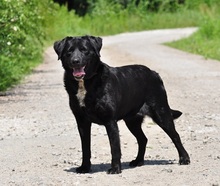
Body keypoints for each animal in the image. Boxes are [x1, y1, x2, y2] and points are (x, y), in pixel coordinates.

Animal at [54, 35, 190, 174]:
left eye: (84, 50)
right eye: (69, 51)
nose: (75, 61)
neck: (85, 84)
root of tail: (154, 73)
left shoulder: (110, 121)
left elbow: (114, 148)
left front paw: (115, 169)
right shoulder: (82, 121)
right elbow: (85, 147)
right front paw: (85, 168)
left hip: (161, 112)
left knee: (175, 136)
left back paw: (184, 159)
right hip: (132, 121)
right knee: (143, 139)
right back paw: (138, 161)